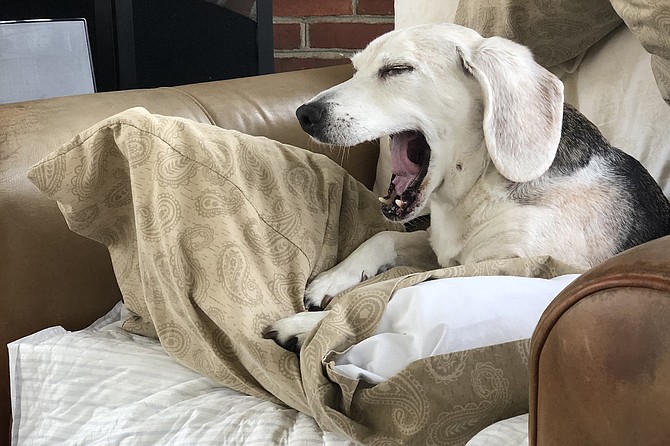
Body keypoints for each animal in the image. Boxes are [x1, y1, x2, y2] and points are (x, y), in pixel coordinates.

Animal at [262, 23, 670, 352]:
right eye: (355, 69)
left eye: (397, 69)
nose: (304, 114)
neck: (478, 183)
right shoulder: (441, 250)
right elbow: (384, 238)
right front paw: (332, 280)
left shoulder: (508, 267)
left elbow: (398, 295)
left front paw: (309, 327)